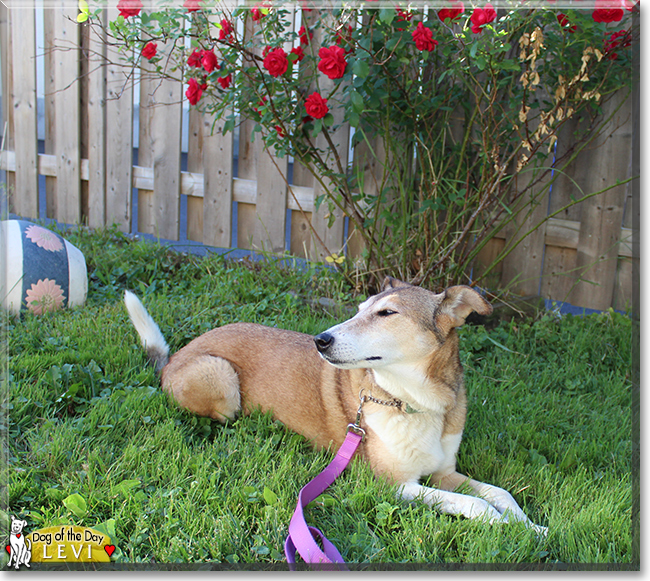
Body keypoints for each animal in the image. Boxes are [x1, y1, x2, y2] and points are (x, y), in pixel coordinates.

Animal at [124, 276, 544, 536]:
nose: (320, 340)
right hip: (221, 379)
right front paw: (506, 526)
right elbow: (476, 505)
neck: (416, 403)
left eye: (387, 313)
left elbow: (500, 494)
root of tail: (174, 358)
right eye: (359, 309)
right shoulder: (394, 485)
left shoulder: (444, 472)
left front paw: (532, 528)